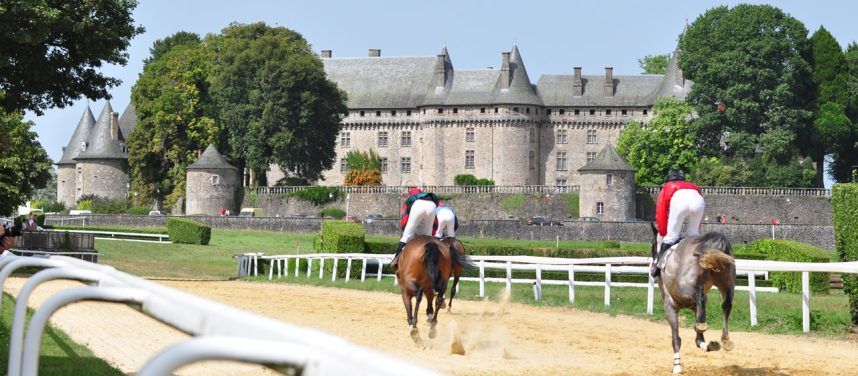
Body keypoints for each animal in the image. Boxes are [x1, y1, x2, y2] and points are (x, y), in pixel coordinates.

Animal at [648, 223, 736, 374]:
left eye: (653, 244)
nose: (653, 268)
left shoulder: (670, 307)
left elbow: (676, 339)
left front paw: (677, 366)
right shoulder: (696, 308)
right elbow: (698, 340)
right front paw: (709, 345)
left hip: (687, 287)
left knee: (699, 293)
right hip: (727, 282)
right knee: (726, 304)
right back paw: (725, 339)